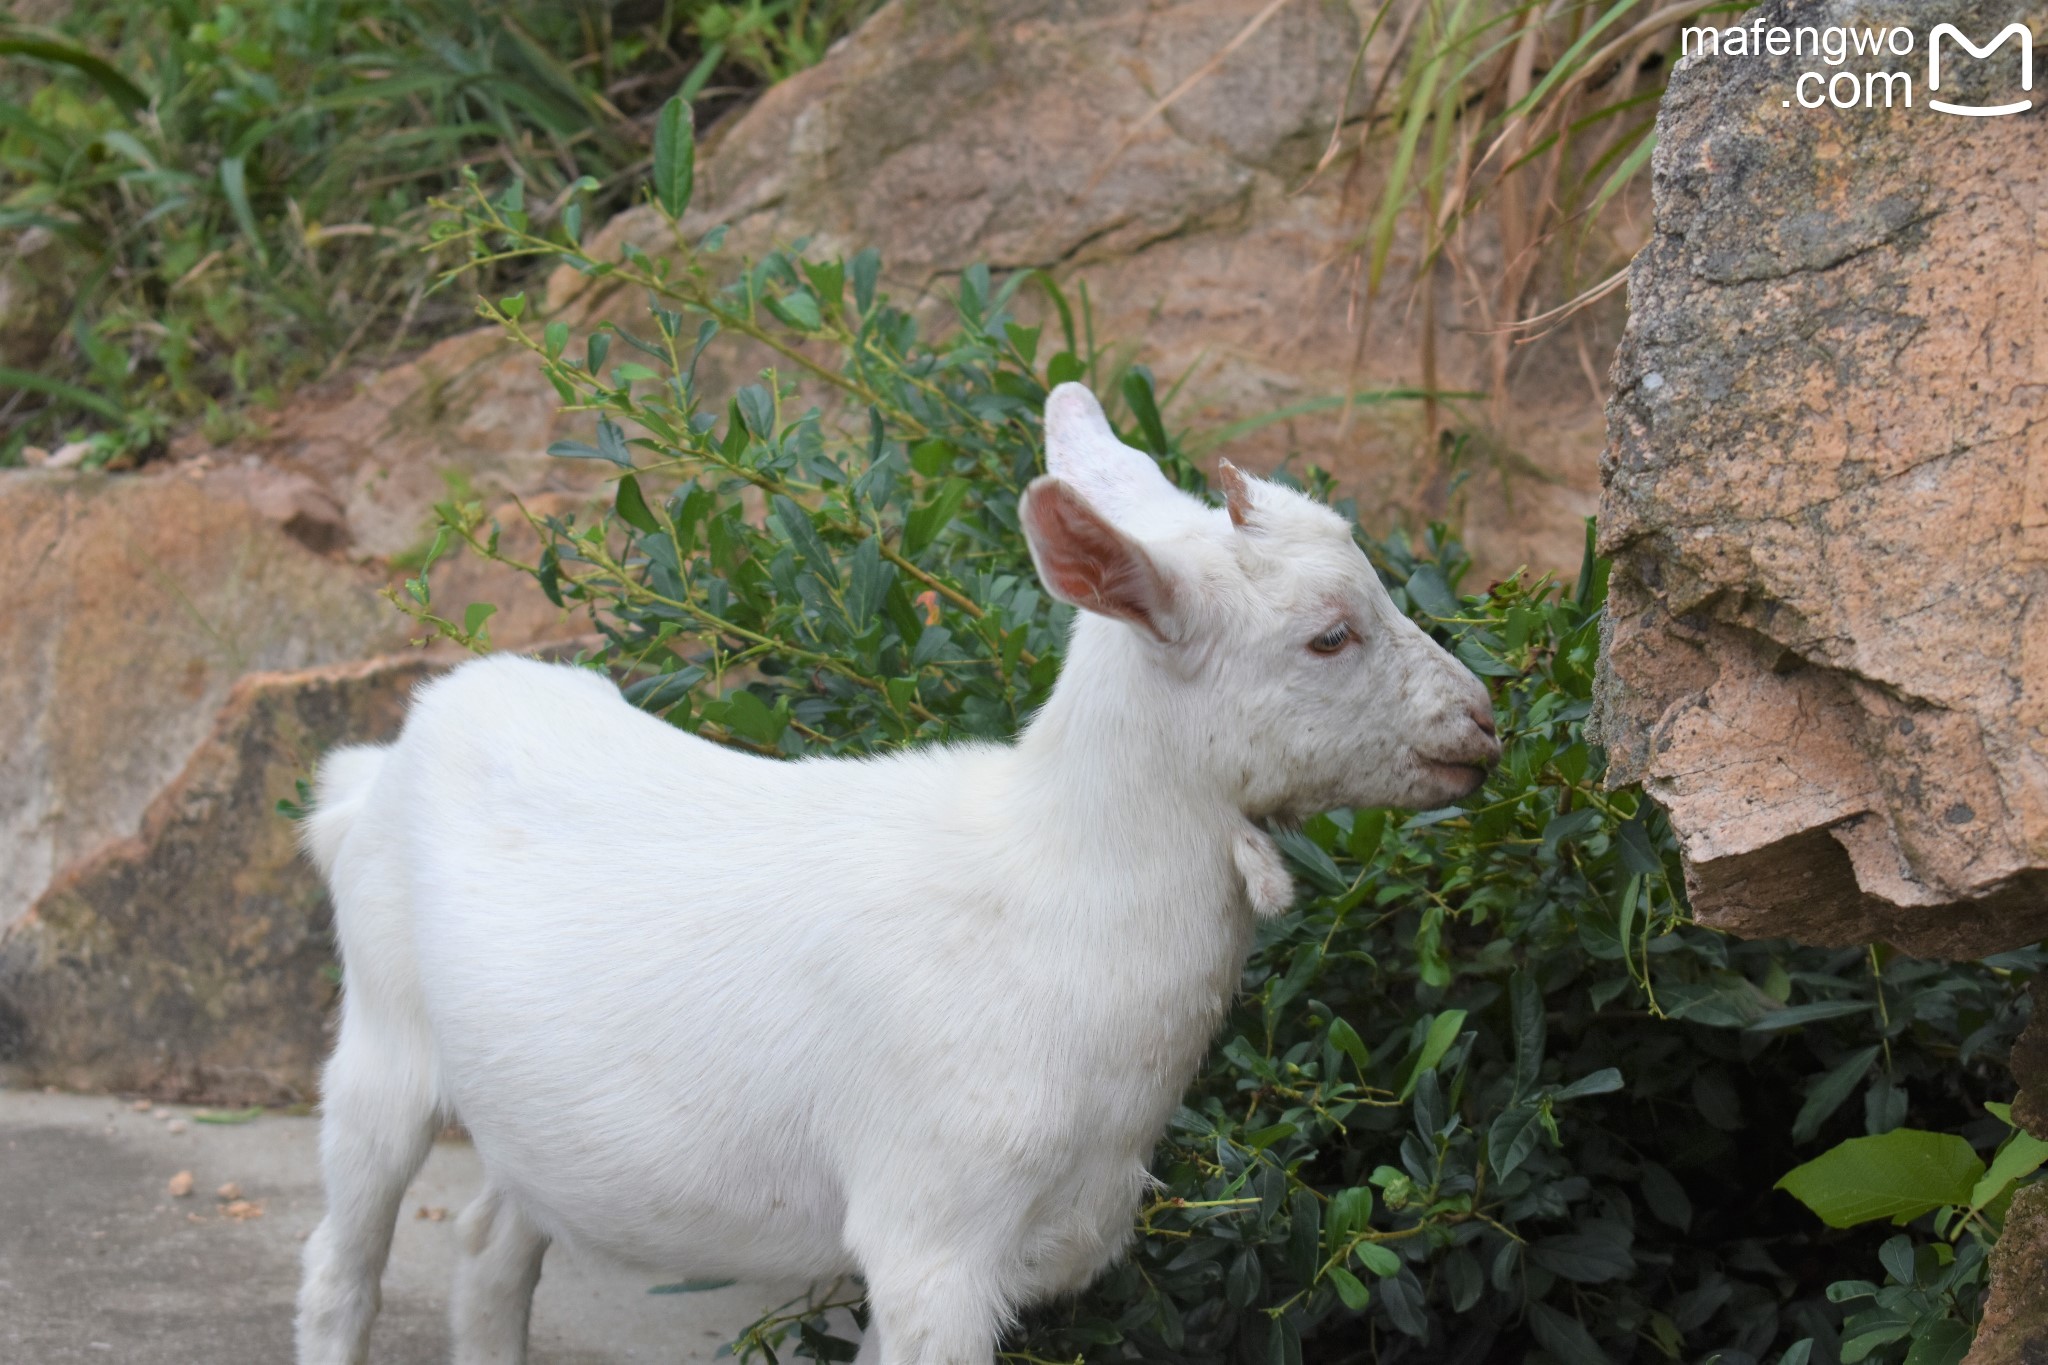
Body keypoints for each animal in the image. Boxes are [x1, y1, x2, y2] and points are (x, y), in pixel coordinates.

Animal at [296, 382, 1499, 1365]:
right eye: (1329, 637)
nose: (1482, 725)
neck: (1059, 895)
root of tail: (382, 760)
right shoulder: (933, 1230)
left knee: (492, 1245)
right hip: (379, 1040)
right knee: (338, 1268)